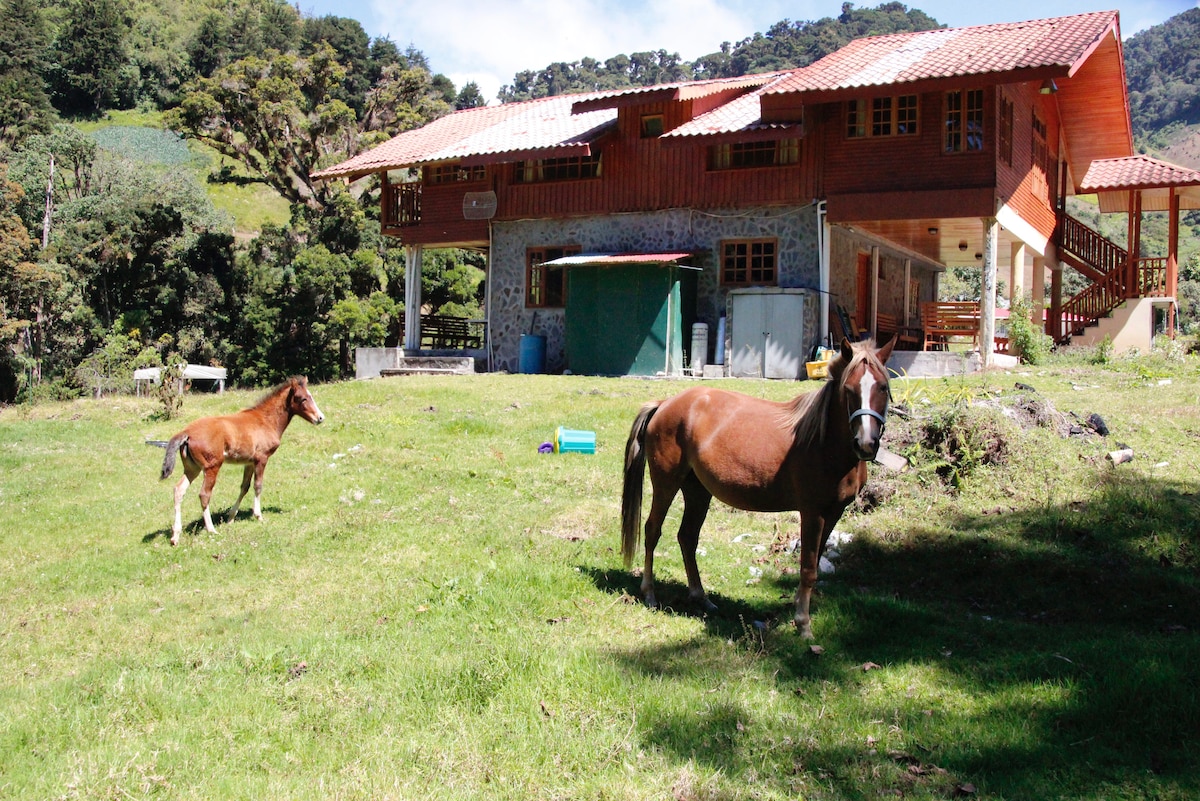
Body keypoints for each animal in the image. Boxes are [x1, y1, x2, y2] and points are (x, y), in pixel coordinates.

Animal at [624, 338, 897, 637]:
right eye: (849, 389)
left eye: (883, 387)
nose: (866, 444)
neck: (823, 442)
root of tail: (664, 404)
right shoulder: (812, 513)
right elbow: (807, 568)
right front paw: (803, 624)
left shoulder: (833, 513)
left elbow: (814, 565)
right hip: (666, 483)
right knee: (653, 530)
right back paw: (650, 594)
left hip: (698, 491)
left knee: (687, 537)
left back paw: (701, 598)